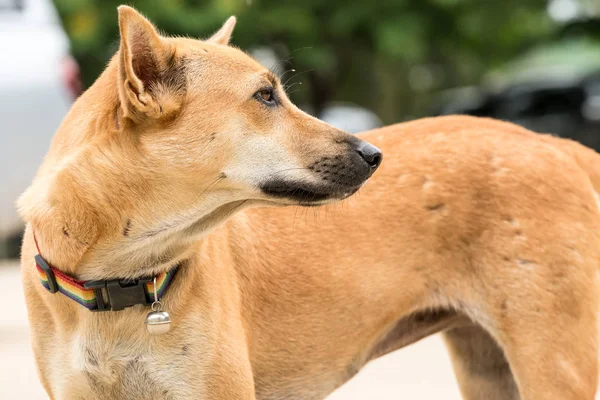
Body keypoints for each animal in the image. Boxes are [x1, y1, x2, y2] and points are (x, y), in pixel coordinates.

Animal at [16, 6, 596, 400]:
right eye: (265, 97)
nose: (374, 154)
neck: (119, 278)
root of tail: (555, 144)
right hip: (489, 369)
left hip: (554, 366)